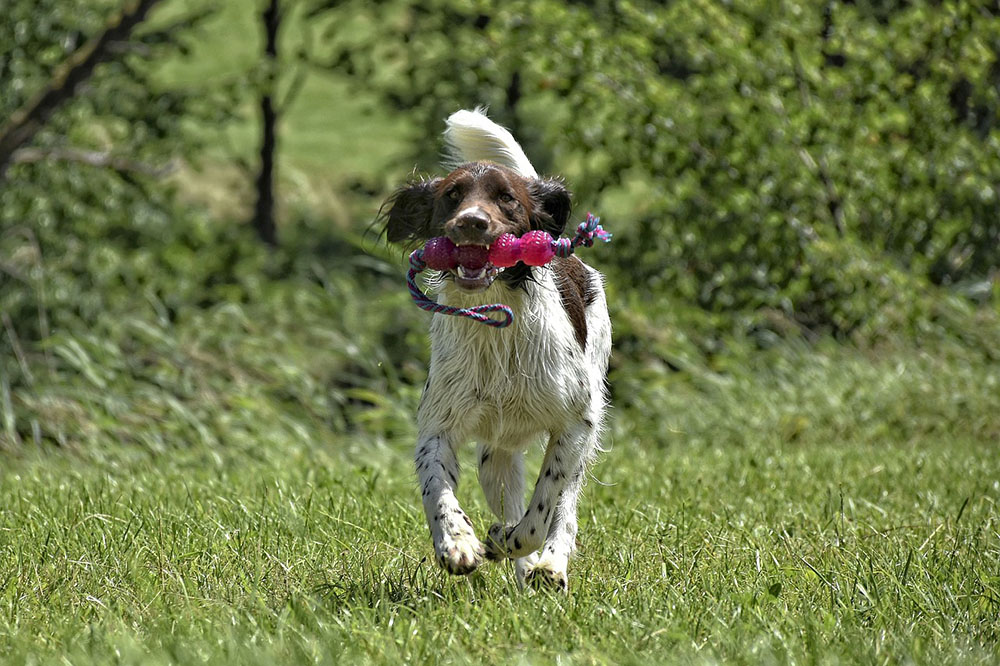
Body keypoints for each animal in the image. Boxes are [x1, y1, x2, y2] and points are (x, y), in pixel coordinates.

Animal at [380, 110, 608, 592]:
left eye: (507, 198)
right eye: (452, 195)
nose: (472, 222)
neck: (496, 330)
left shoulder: (574, 424)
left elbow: (543, 509)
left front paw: (514, 544)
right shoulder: (438, 426)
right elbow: (437, 489)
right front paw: (457, 542)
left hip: (587, 424)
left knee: (565, 507)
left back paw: (549, 565)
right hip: (495, 454)